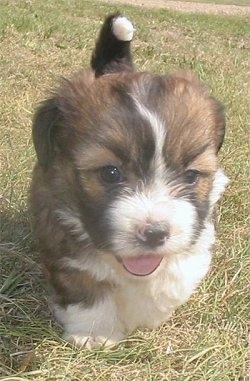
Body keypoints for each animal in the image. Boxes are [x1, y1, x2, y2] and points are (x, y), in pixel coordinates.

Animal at [30, 14, 229, 348]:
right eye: (110, 173)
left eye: (191, 176)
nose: (155, 234)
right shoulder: (59, 235)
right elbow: (86, 286)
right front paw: (95, 334)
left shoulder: (199, 231)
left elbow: (174, 275)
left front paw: (147, 309)